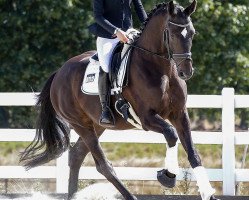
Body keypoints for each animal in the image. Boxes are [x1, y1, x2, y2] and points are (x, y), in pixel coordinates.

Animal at [20, 0, 218, 199]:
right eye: (172, 34)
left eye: (192, 33)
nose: (186, 72)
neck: (161, 69)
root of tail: (59, 73)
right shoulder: (147, 117)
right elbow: (171, 135)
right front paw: (168, 176)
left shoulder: (179, 114)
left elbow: (194, 154)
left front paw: (208, 194)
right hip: (81, 125)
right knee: (103, 165)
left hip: (97, 125)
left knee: (76, 156)